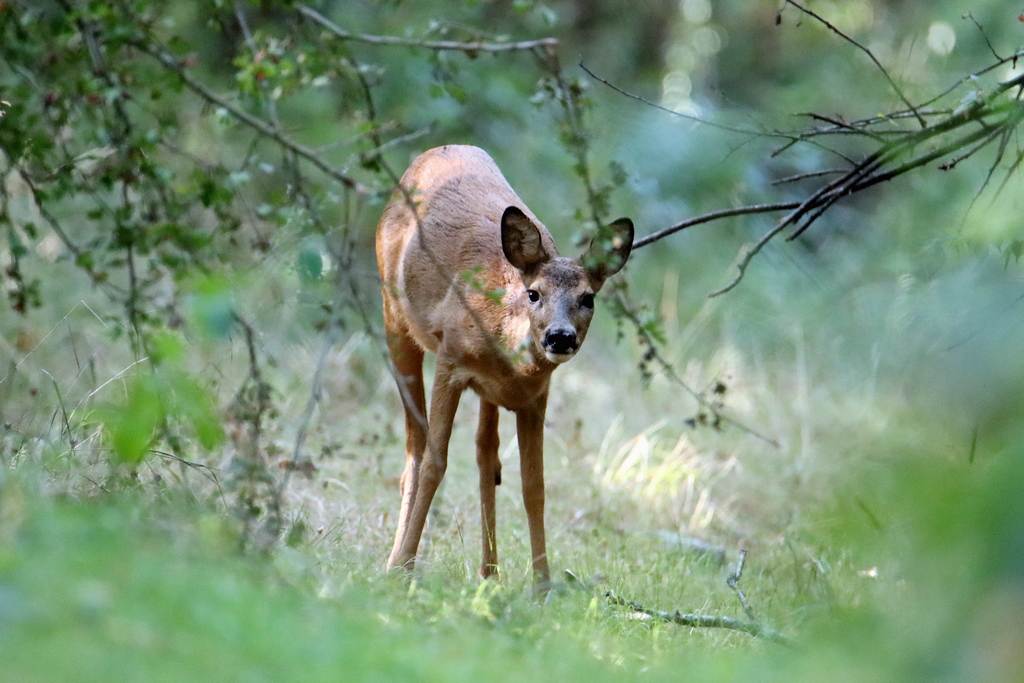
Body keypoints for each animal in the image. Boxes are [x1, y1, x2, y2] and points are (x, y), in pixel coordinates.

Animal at [376, 145, 630, 589]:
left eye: (588, 298)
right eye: (534, 293)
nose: (560, 337)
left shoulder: (534, 398)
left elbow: (534, 484)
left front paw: (543, 585)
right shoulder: (450, 362)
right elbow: (436, 464)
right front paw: (404, 566)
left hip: (487, 395)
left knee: (485, 455)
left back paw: (489, 574)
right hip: (395, 318)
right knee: (415, 448)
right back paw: (397, 562)